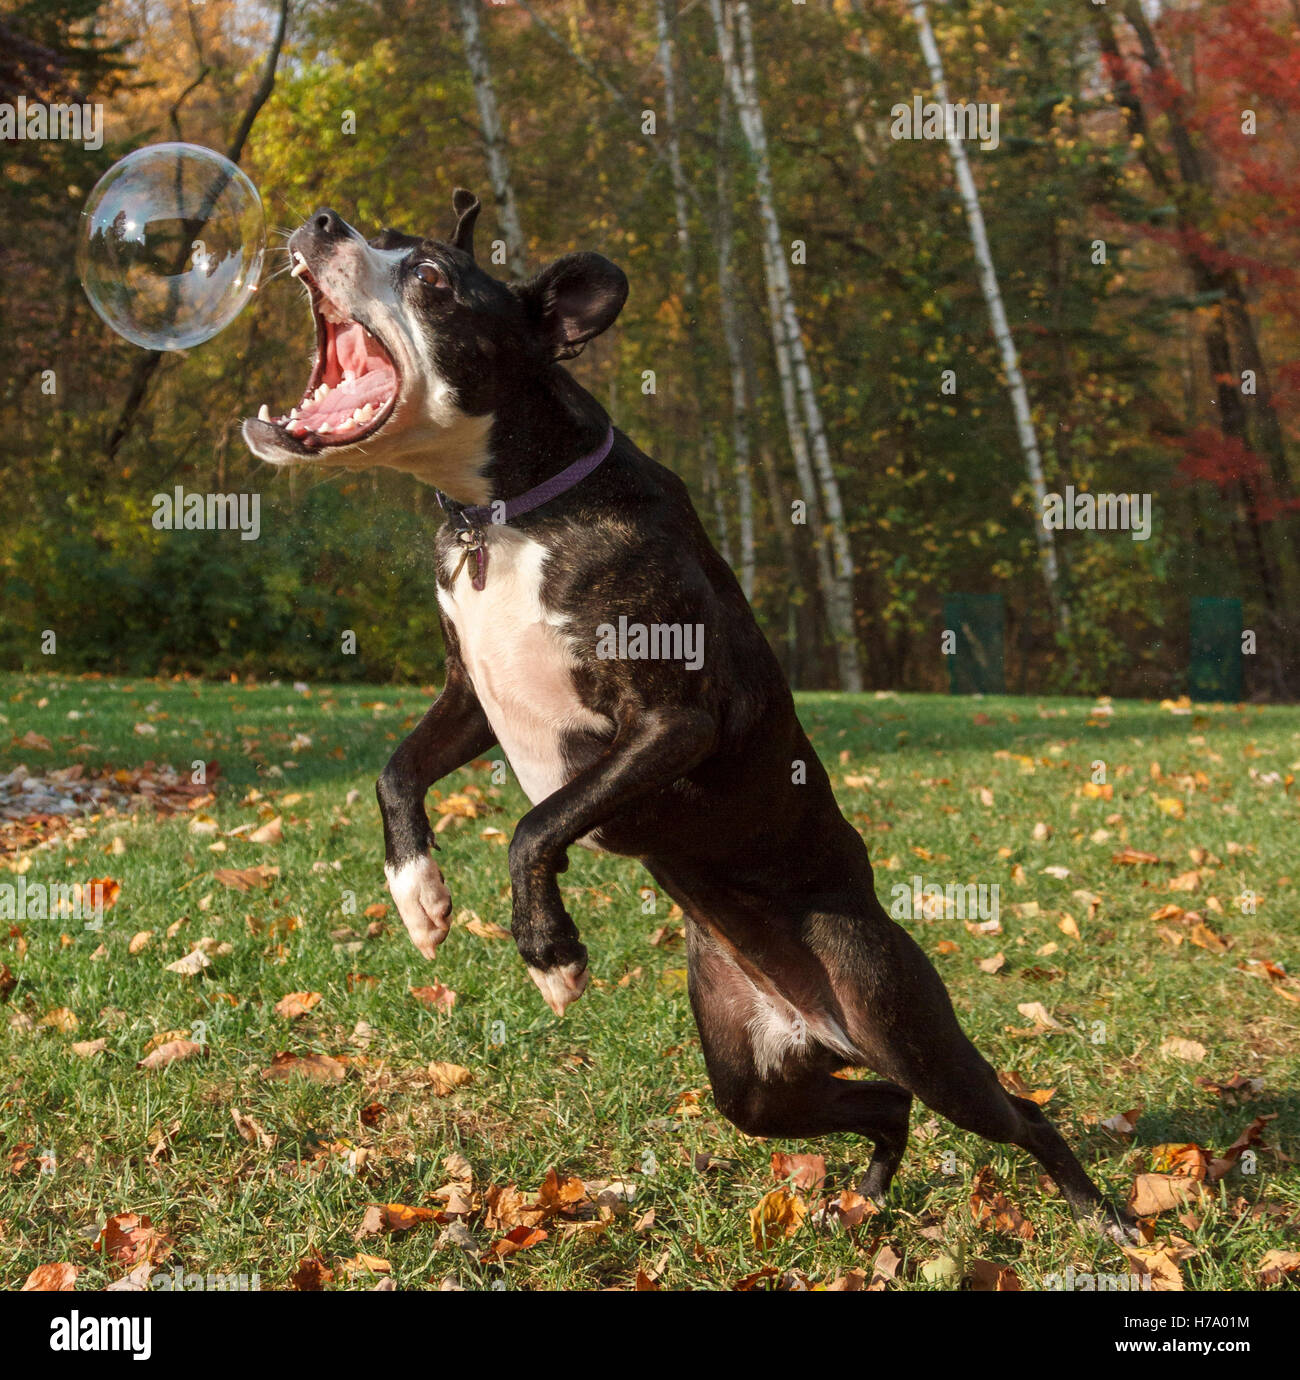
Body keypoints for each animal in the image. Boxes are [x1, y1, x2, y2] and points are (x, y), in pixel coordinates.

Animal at [244, 194, 1120, 1230]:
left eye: (429, 278)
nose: (322, 221)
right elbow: (397, 770)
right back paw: (866, 1196)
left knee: (1013, 1110)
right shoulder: (470, 701)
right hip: (756, 1084)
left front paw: (549, 952)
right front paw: (418, 896)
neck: (506, 513)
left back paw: (1102, 1216)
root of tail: (815, 1018)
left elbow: (537, 823)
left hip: (902, 1026)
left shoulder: (671, 724)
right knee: (881, 1105)